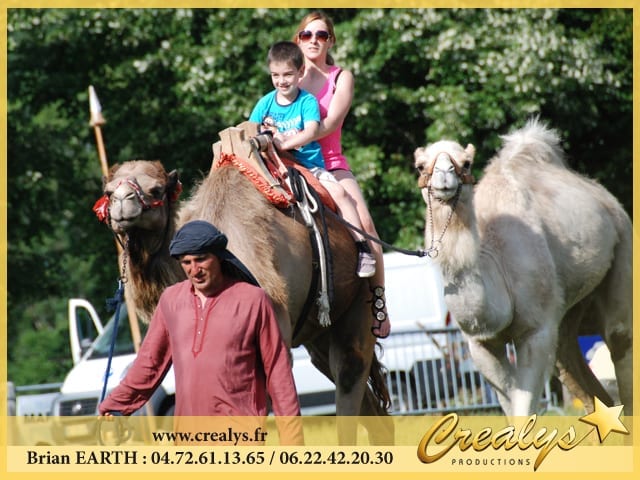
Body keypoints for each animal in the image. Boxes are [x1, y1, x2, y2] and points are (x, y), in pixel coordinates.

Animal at [97, 156, 392, 444]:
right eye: (108, 192)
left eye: (157, 189)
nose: (122, 201)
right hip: (318, 335)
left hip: (358, 302)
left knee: (349, 371)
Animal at [412, 119, 632, 416]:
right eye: (420, 165)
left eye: (466, 163)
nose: (444, 177)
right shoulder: (481, 344)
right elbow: (510, 404)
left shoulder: (535, 332)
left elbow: (523, 409)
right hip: (568, 307)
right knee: (567, 358)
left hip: (623, 243)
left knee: (619, 338)